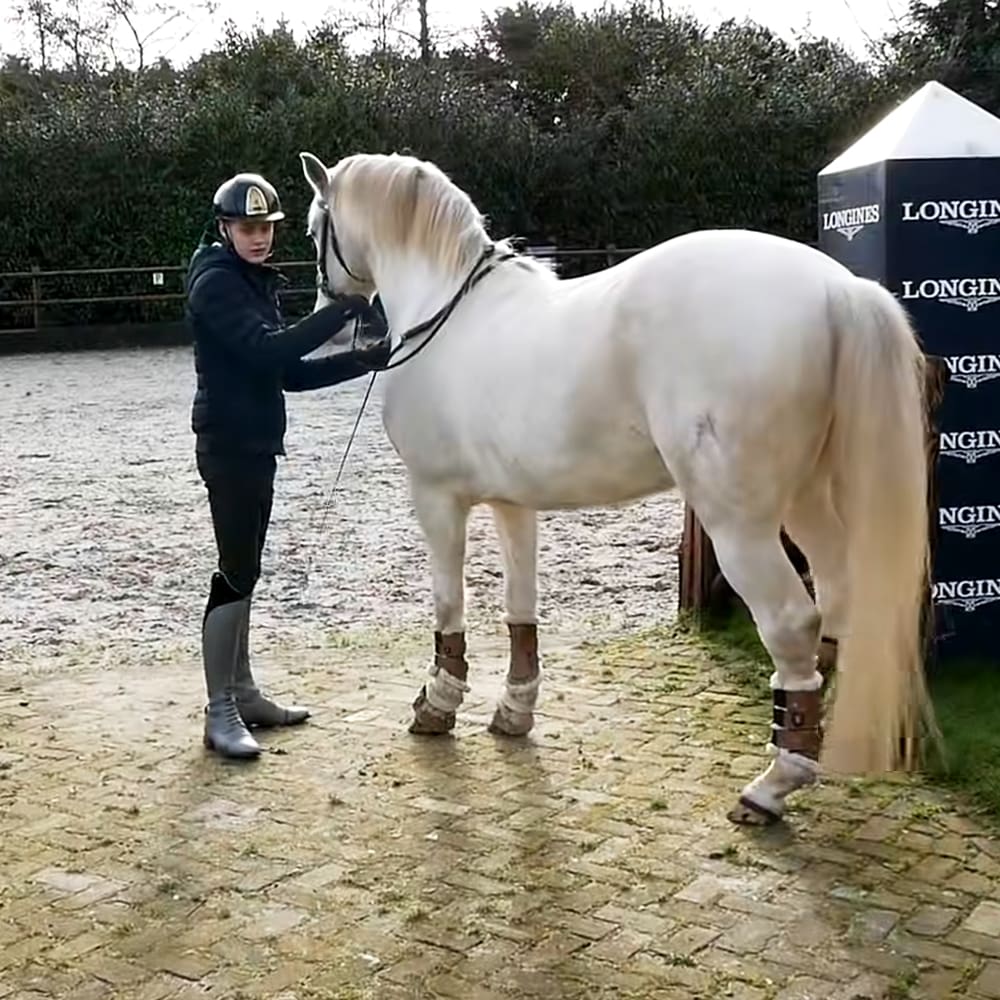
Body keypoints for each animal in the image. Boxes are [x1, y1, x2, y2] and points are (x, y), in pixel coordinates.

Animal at [297, 148, 938, 826]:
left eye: (315, 229)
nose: (328, 316)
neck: (448, 313)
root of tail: (838, 289)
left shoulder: (437, 498)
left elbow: (450, 606)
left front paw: (436, 705)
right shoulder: (512, 504)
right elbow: (520, 607)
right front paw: (514, 712)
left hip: (742, 523)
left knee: (792, 622)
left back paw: (771, 784)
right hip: (808, 500)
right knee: (842, 598)